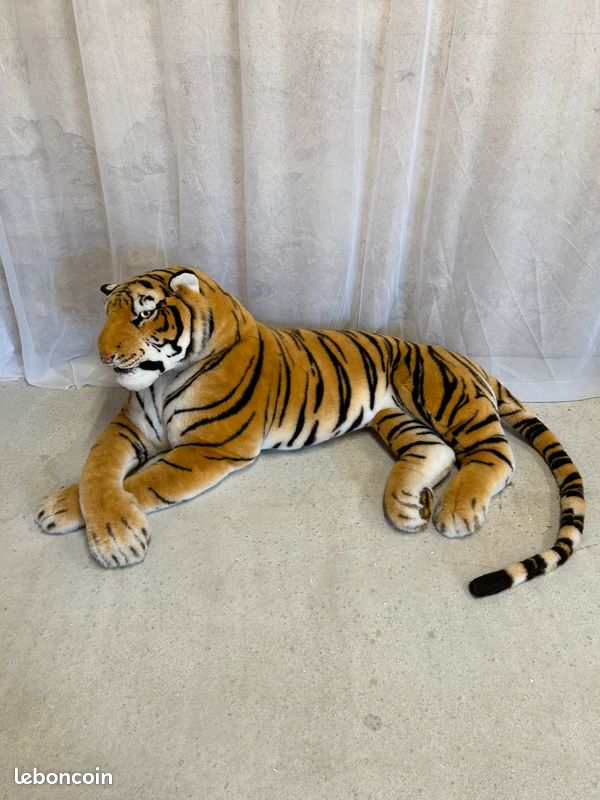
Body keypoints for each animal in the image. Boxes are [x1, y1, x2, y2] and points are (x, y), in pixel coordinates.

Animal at [35, 266, 585, 597]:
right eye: (108, 315)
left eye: (144, 314)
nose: (105, 355)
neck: (164, 378)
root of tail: (467, 359)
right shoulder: (131, 426)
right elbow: (99, 466)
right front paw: (64, 505)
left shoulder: (212, 446)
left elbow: (143, 481)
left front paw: (115, 538)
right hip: (393, 414)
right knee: (438, 451)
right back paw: (408, 504)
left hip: (442, 391)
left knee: (494, 454)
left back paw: (455, 511)